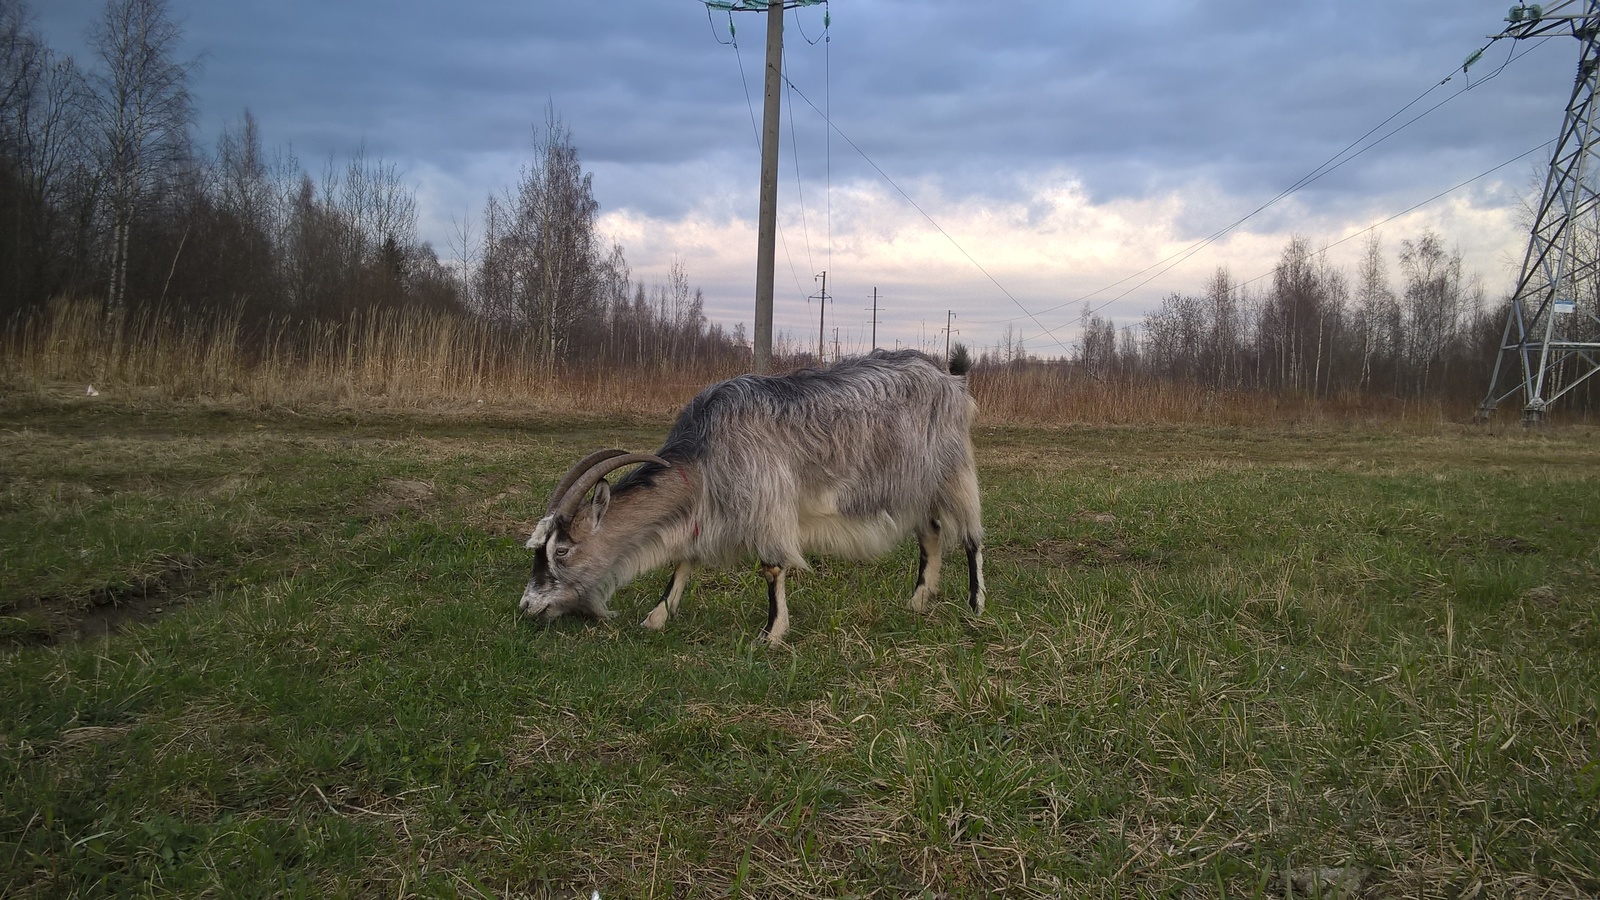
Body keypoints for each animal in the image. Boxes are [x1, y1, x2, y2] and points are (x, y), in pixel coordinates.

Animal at [518, 347, 979, 640]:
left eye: (561, 551)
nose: (527, 606)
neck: (704, 452)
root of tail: (951, 378)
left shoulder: (765, 502)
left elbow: (772, 568)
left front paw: (771, 634)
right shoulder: (710, 511)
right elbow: (684, 560)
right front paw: (657, 617)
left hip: (953, 471)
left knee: (971, 538)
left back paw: (975, 606)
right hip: (916, 486)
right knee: (931, 533)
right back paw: (919, 600)